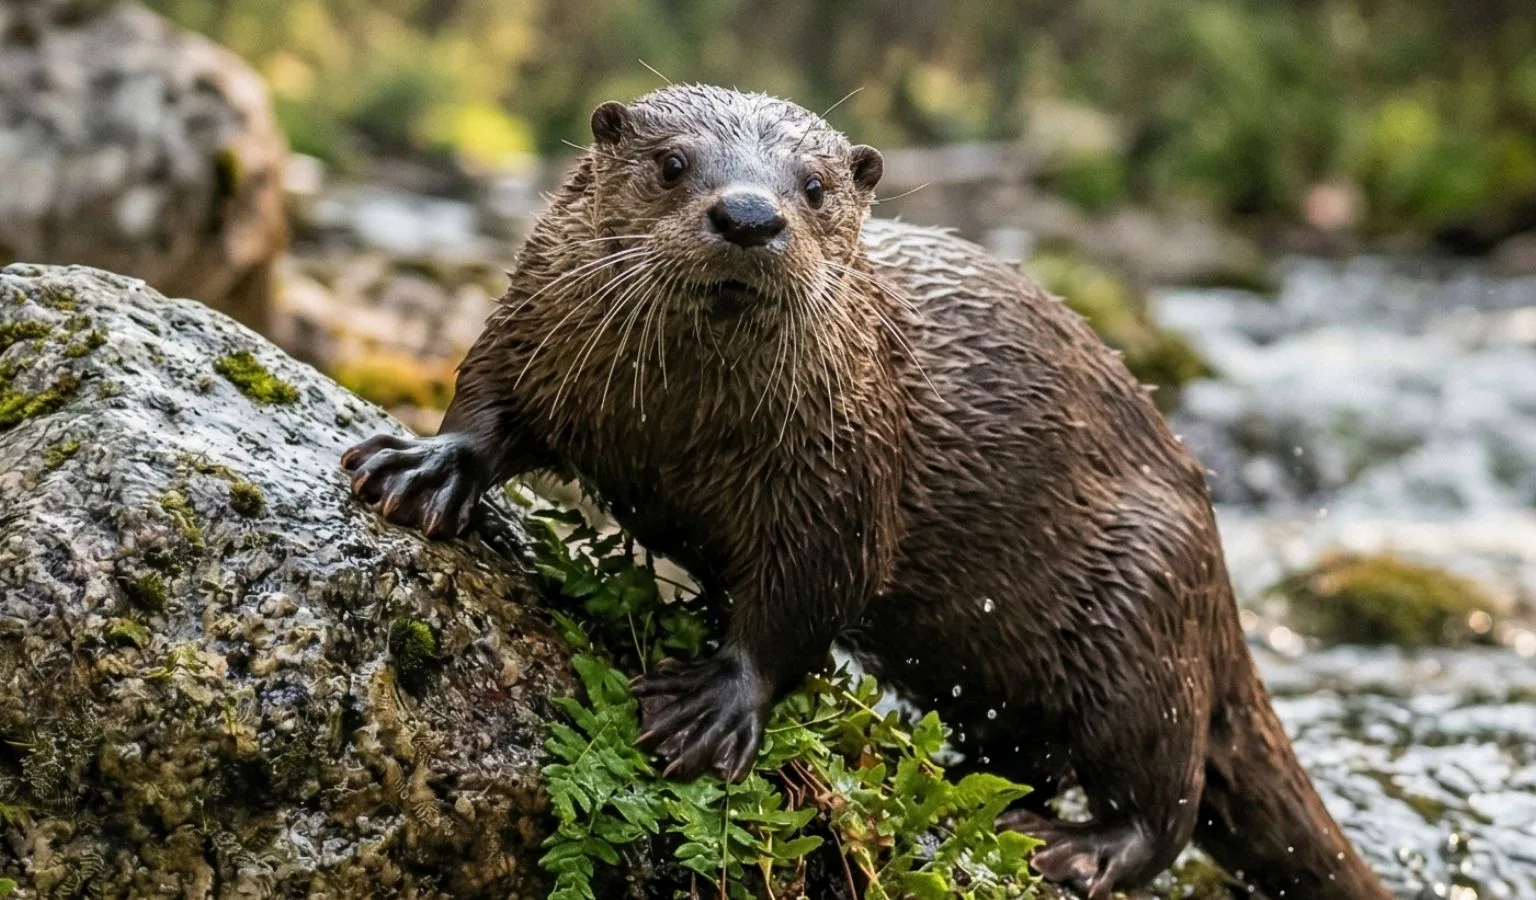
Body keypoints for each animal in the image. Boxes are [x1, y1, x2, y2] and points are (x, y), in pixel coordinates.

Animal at [341, 85, 1390, 899]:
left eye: (814, 188)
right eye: (673, 164)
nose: (750, 215)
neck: (679, 433)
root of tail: (1215, 554)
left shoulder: (844, 473)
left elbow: (808, 596)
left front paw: (713, 704)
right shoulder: (535, 323)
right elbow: (485, 397)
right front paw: (425, 466)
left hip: (1139, 602)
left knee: (1166, 792)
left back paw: (1075, 848)